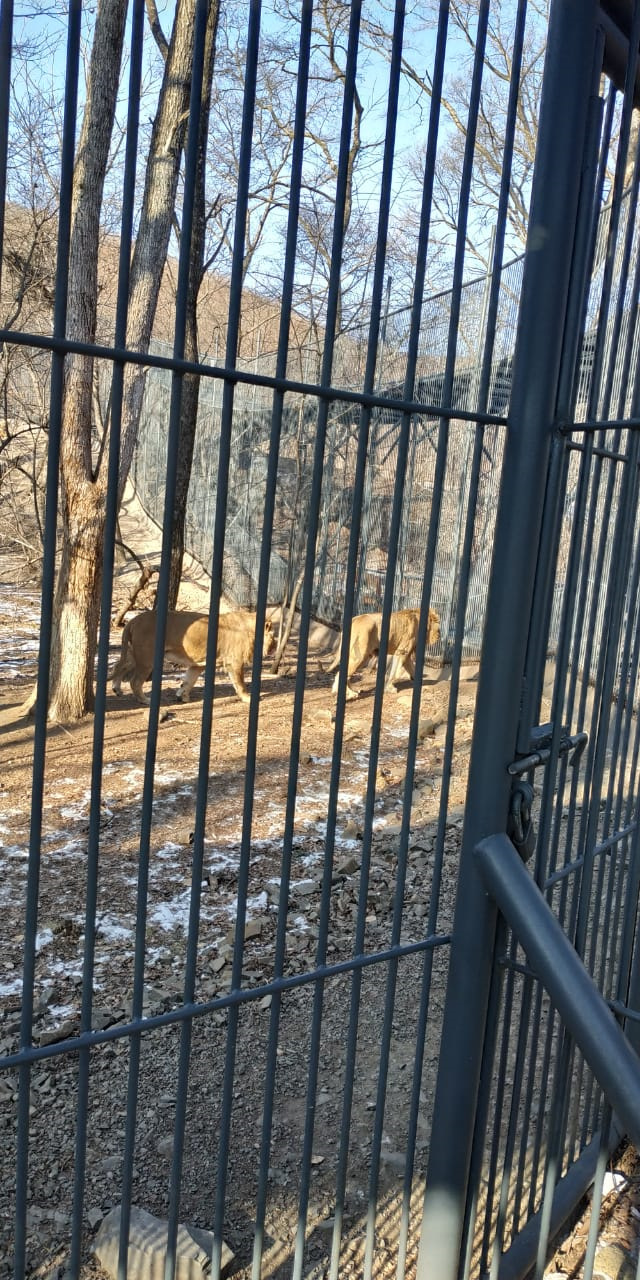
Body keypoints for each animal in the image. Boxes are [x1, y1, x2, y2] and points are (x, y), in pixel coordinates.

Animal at [109, 608, 276, 705]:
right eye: (274, 636)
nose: (274, 647)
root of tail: (133, 620)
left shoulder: (198, 665)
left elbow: (189, 681)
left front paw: (182, 696)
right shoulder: (234, 662)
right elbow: (240, 683)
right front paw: (248, 698)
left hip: (134, 654)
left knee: (119, 666)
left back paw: (117, 689)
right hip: (147, 658)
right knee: (135, 681)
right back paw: (145, 700)